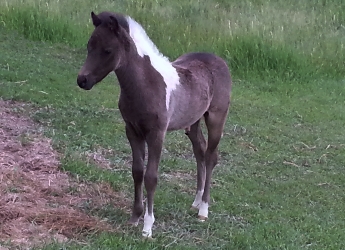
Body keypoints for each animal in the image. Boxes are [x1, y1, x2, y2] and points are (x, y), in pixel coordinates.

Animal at [76, 11, 231, 238]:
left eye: (107, 50)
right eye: (89, 46)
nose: (82, 80)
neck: (146, 84)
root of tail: (219, 60)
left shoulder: (157, 134)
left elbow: (151, 176)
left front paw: (147, 227)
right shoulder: (132, 130)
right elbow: (137, 171)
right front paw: (134, 217)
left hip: (216, 118)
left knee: (211, 156)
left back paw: (203, 210)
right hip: (192, 122)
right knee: (199, 151)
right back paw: (195, 202)